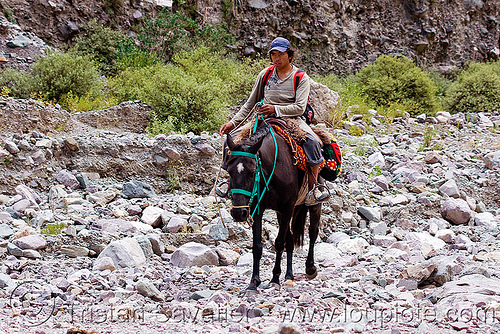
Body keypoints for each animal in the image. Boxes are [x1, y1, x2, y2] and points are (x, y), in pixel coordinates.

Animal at [226, 124, 322, 290]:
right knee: (290, 240)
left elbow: (278, 243)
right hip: (281, 213)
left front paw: (275, 278)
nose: (239, 213)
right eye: (229, 171)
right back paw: (289, 276)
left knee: (312, 232)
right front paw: (254, 281)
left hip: (314, 203)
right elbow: (257, 246)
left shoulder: (287, 208)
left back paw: (310, 268)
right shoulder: (258, 210)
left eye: (252, 172)